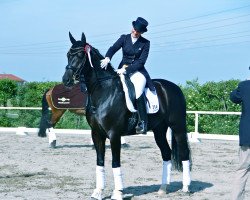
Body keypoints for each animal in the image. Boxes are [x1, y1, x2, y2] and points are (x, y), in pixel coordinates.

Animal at [62, 32, 191, 199]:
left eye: (80, 55)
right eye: (68, 55)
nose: (66, 80)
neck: (103, 92)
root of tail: (175, 88)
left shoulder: (114, 134)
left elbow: (115, 163)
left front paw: (118, 192)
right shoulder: (96, 134)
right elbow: (100, 161)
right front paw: (98, 192)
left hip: (178, 127)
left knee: (184, 153)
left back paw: (186, 187)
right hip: (159, 130)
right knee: (166, 153)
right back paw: (163, 188)